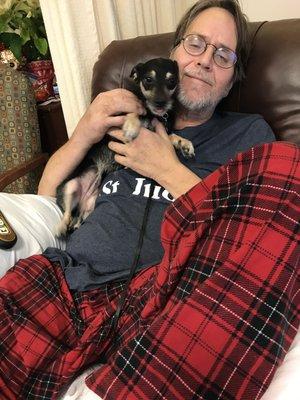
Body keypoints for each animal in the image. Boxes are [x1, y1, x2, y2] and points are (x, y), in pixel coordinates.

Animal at [56, 57, 195, 236]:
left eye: (172, 81)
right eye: (148, 79)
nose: (160, 103)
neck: (153, 115)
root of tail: (81, 205)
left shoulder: (161, 132)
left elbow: (173, 136)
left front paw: (184, 144)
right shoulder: (114, 122)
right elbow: (134, 112)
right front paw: (131, 126)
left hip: (91, 204)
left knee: (78, 219)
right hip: (70, 187)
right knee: (66, 214)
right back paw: (60, 227)